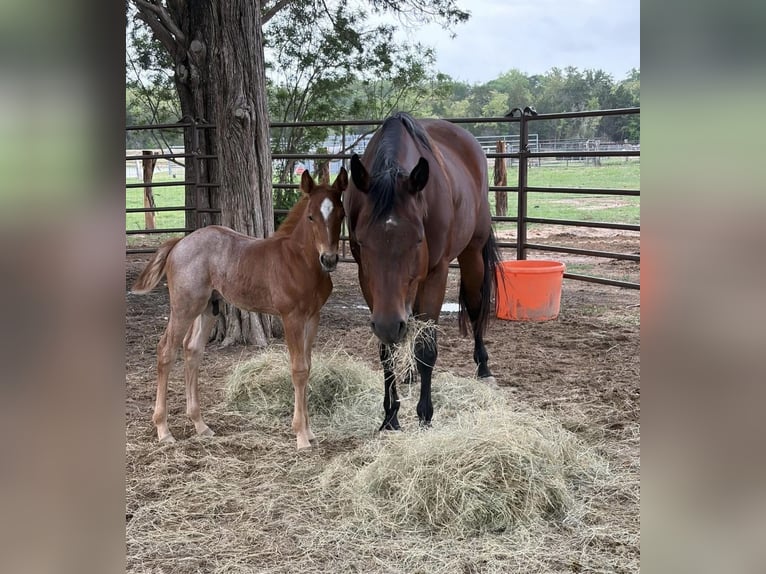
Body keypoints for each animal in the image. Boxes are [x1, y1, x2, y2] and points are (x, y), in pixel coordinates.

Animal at [131, 168, 348, 449]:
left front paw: (310, 432)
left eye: (341, 215)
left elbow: (308, 367)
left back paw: (200, 424)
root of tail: (179, 242)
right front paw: (301, 436)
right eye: (311, 216)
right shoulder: (292, 317)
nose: (329, 259)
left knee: (192, 349)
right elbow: (298, 370)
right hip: (184, 306)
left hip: (208, 307)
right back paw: (163, 429)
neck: (299, 261)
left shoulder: (313, 317)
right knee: (166, 350)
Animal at [343, 112, 501, 431]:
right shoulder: (368, 282)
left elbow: (427, 348)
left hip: (472, 254)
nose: (389, 325)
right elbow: (387, 352)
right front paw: (390, 415)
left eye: (417, 239)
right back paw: (410, 374)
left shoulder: (435, 274)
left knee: (476, 306)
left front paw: (424, 415)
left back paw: (483, 368)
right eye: (363, 242)